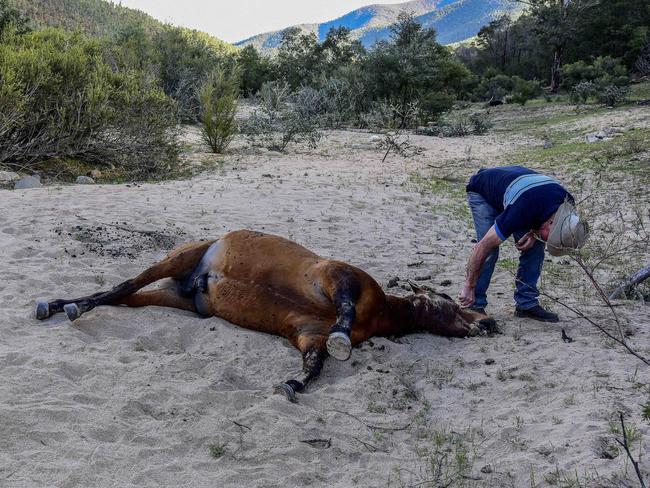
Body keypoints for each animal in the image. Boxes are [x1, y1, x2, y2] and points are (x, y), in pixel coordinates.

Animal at [35, 229, 492, 400]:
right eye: (454, 304)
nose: (489, 322)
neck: (379, 311)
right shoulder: (338, 278)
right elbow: (343, 316)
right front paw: (342, 339)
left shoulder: (307, 334)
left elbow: (315, 362)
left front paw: (294, 384)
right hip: (172, 261)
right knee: (121, 287)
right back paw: (65, 307)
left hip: (171, 299)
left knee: (122, 298)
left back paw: (62, 305)